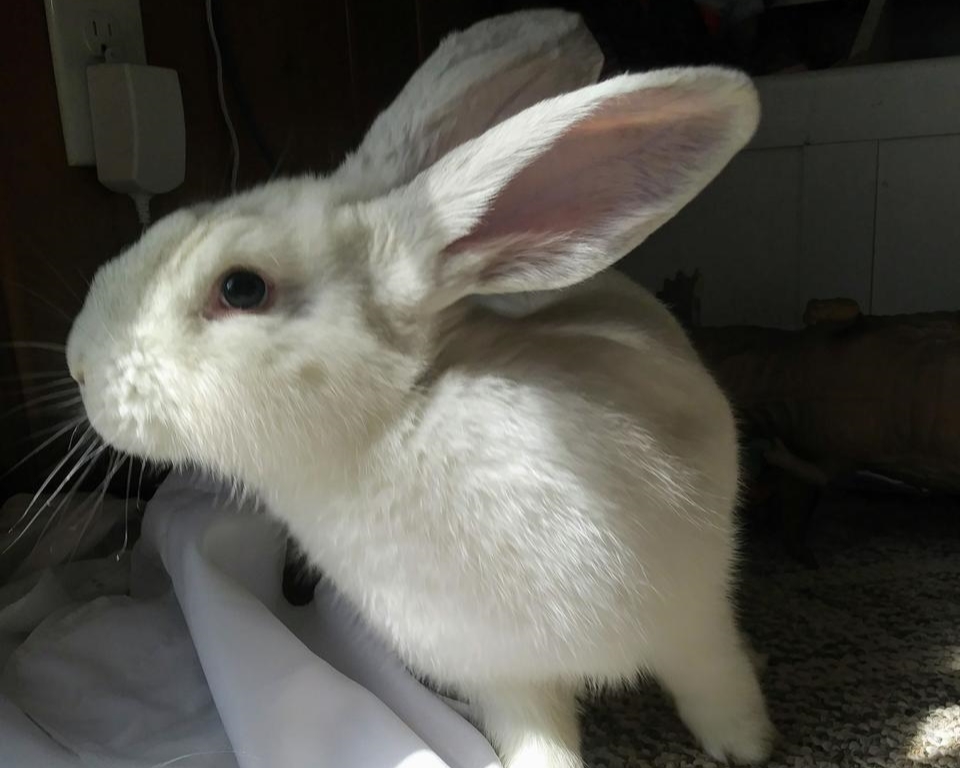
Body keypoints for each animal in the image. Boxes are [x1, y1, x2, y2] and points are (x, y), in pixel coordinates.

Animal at [65, 7, 772, 768]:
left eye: (242, 288)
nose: (79, 364)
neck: (393, 428)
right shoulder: (505, 676)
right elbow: (537, 736)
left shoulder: (692, 614)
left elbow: (713, 677)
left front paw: (747, 745)